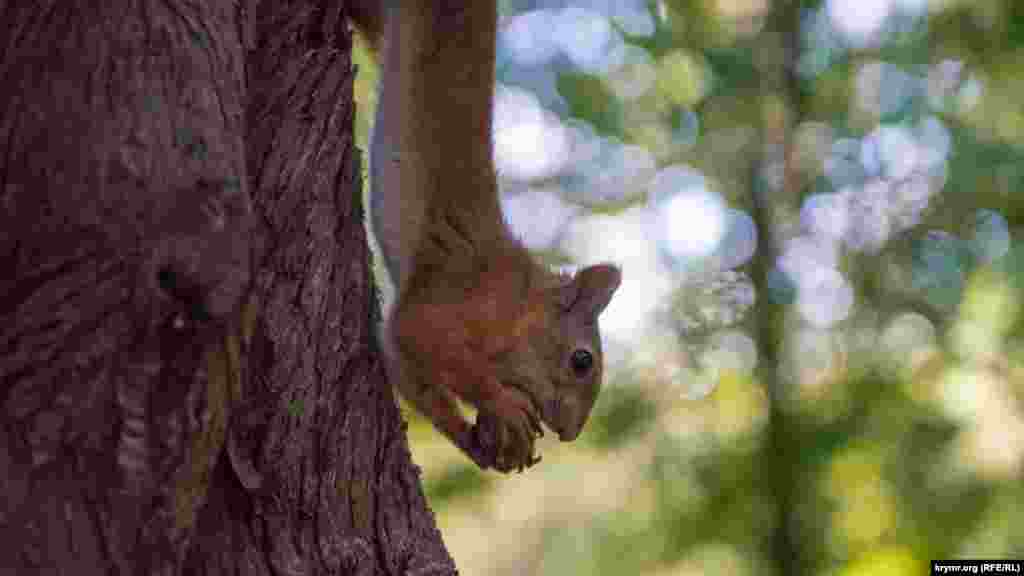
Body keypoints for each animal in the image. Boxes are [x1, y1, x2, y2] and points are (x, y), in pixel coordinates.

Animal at [348, 1, 618, 471]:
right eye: (582, 361)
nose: (570, 434)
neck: (516, 302)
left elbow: (411, 377)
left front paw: (473, 441)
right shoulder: (452, 296)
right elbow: (418, 333)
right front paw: (501, 403)